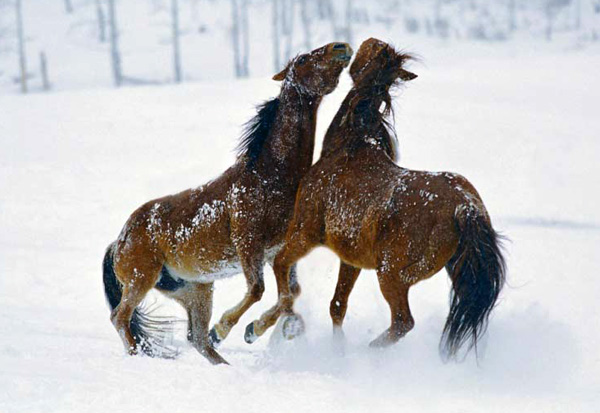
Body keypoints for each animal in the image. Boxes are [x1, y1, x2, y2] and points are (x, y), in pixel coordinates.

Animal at [103, 41, 354, 364]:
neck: (270, 179)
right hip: (140, 280)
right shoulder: (249, 245)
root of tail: (118, 241)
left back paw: (222, 362)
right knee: (121, 317)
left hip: (195, 290)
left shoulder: (279, 251)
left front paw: (273, 330)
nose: (341, 47)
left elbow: (290, 294)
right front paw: (233, 328)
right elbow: (259, 290)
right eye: (302, 59)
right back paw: (141, 354)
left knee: (196, 338)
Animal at [246, 39, 504, 360]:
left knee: (403, 322)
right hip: (449, 271)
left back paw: (368, 351)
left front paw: (255, 329)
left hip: (390, 274)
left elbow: (284, 277)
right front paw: (336, 349)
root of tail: (465, 207)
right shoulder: (350, 258)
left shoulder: (303, 233)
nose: (343, 46)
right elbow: (337, 305)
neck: (350, 148)